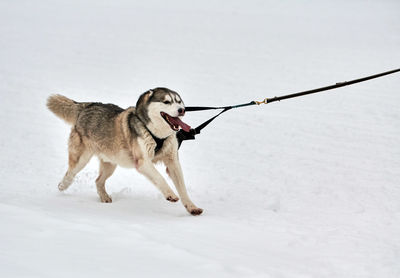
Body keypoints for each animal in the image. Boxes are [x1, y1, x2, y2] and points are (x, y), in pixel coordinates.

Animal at [47, 88, 203, 216]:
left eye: (179, 101)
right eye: (167, 101)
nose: (182, 110)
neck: (157, 134)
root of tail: (88, 105)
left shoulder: (173, 162)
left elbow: (182, 188)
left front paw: (191, 207)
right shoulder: (143, 163)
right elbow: (160, 178)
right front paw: (170, 194)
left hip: (111, 164)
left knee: (98, 180)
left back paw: (104, 197)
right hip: (81, 159)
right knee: (70, 173)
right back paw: (63, 185)